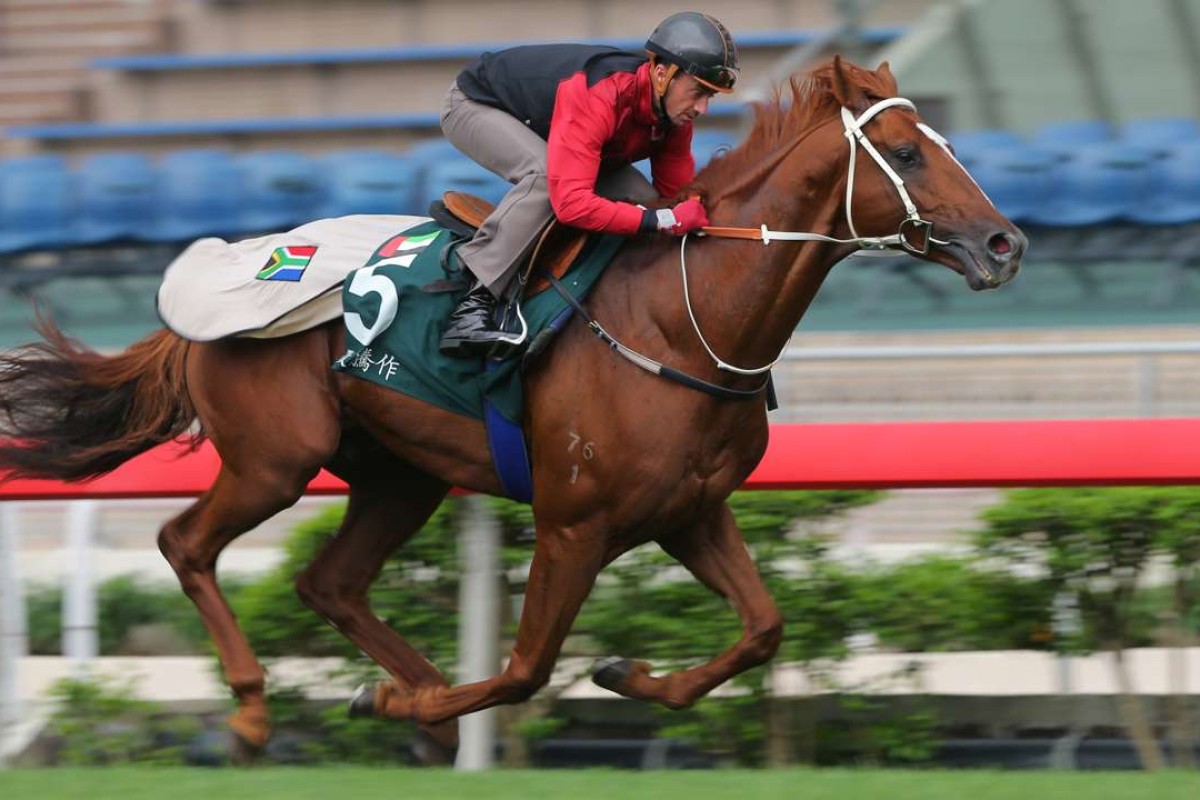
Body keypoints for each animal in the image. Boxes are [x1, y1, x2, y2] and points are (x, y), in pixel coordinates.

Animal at [0, 59, 1022, 762]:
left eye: (945, 144)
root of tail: (217, 283)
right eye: (904, 153)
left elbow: (761, 629)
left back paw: (408, 705)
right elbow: (526, 668)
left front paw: (622, 672)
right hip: (274, 458)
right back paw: (256, 712)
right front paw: (405, 705)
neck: (683, 317)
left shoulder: (688, 511)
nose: (1004, 243)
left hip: (397, 474)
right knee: (186, 544)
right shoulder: (574, 523)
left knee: (328, 583)